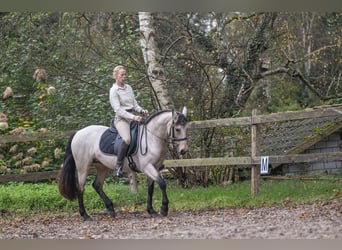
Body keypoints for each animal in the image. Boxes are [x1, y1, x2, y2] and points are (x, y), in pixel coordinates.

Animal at [57, 107, 188, 221]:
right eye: (177, 129)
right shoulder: (147, 167)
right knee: (80, 188)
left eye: (186, 127)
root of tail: (78, 132)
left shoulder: (154, 167)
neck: (152, 138)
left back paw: (110, 209)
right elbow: (162, 183)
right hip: (83, 166)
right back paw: (85, 215)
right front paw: (164, 209)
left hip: (102, 167)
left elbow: (151, 188)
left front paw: (152, 211)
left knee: (97, 185)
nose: (183, 150)